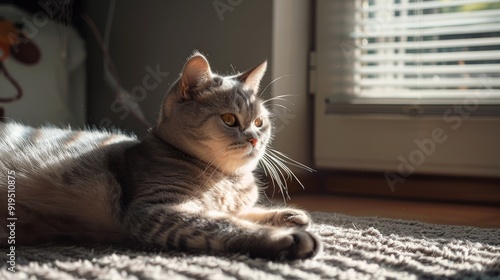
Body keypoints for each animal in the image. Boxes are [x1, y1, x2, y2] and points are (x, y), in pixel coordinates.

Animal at [0, 52, 320, 260]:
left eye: (259, 122)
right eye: (229, 119)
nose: (254, 138)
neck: (227, 179)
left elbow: (240, 212)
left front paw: (287, 214)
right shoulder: (157, 208)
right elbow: (224, 223)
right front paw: (283, 236)